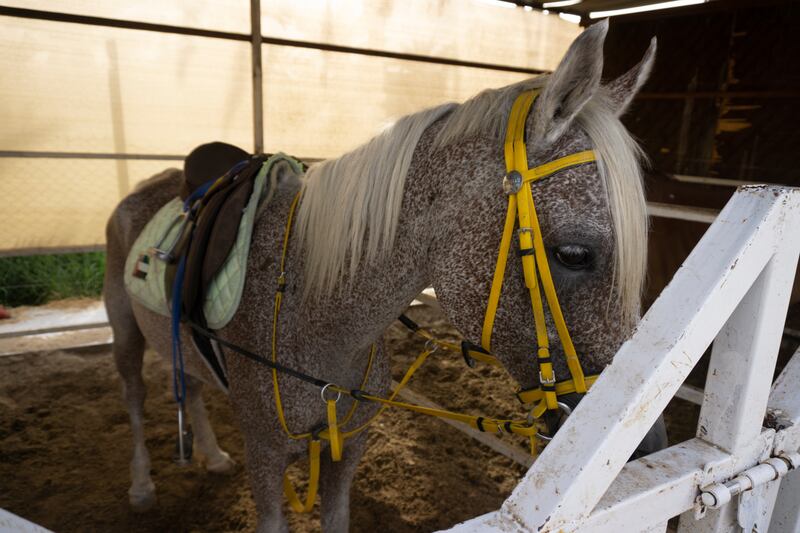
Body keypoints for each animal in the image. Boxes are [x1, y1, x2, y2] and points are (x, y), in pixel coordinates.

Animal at [103, 22, 660, 532]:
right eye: (574, 254)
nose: (642, 446)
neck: (313, 313)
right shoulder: (264, 459)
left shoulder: (347, 451)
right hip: (124, 331)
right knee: (133, 396)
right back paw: (141, 485)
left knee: (190, 383)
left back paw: (213, 455)